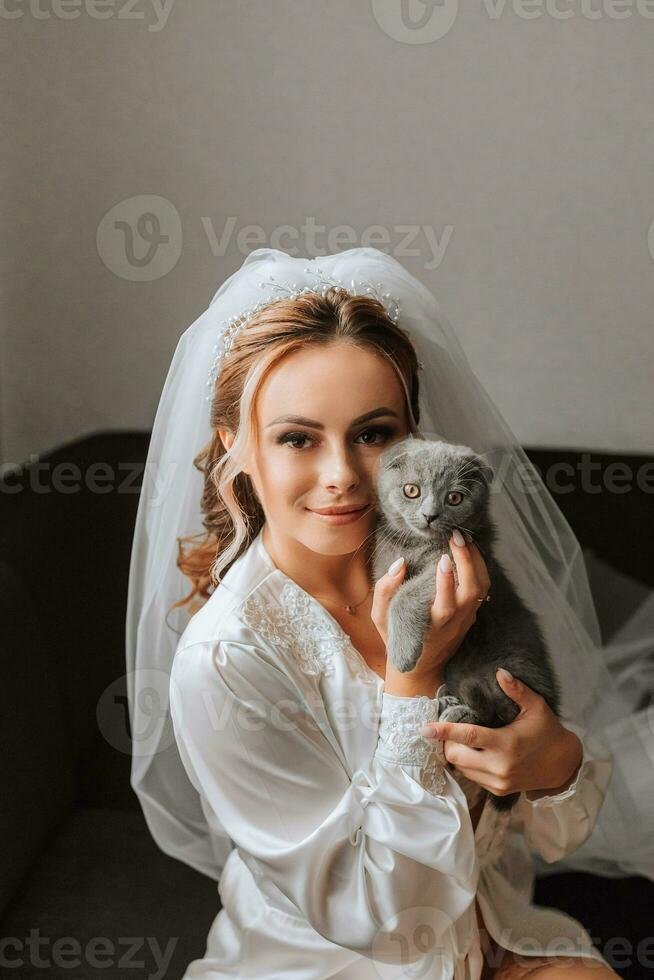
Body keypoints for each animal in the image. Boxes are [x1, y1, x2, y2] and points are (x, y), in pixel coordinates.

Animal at [374, 436, 564, 812]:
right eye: (411, 490)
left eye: (455, 498)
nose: (430, 515)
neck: (418, 545)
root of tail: (551, 700)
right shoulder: (385, 563)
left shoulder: (456, 564)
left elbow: (406, 594)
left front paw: (402, 654)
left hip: (507, 669)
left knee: (500, 716)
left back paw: (459, 713)